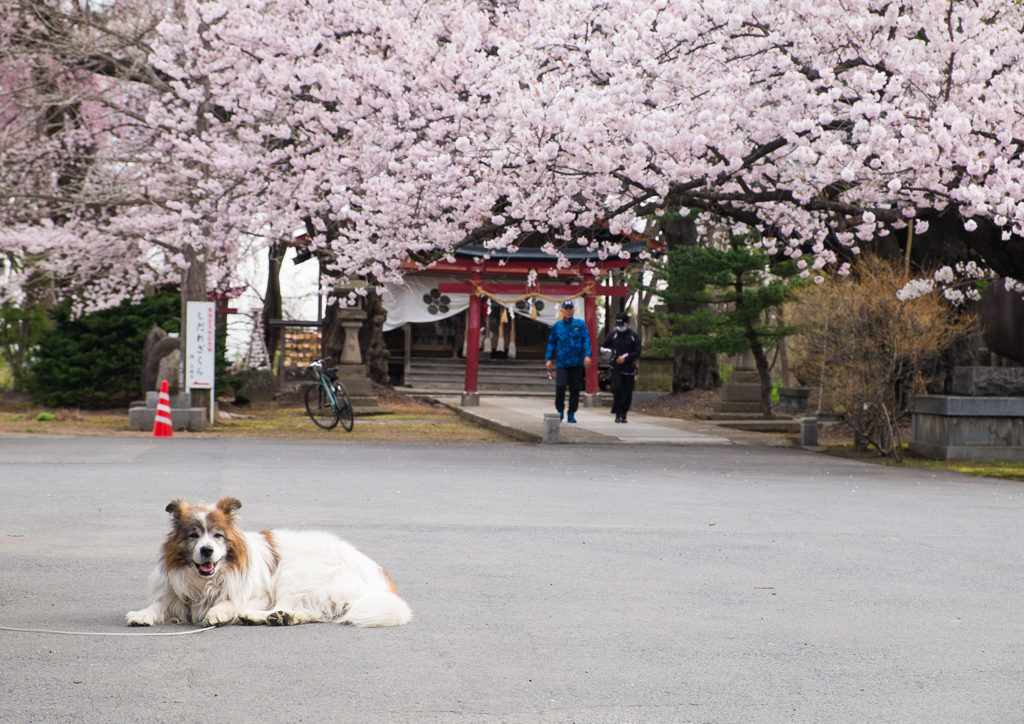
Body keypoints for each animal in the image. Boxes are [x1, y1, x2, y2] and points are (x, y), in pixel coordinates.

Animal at [126, 497, 411, 626]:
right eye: (193, 536)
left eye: (218, 535)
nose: (206, 551)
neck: (205, 582)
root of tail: (378, 576)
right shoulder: (177, 597)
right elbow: (159, 604)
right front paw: (141, 614)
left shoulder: (260, 594)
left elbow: (231, 601)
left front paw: (218, 611)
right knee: (311, 612)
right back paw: (282, 618)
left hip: (293, 573)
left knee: (290, 605)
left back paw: (258, 616)